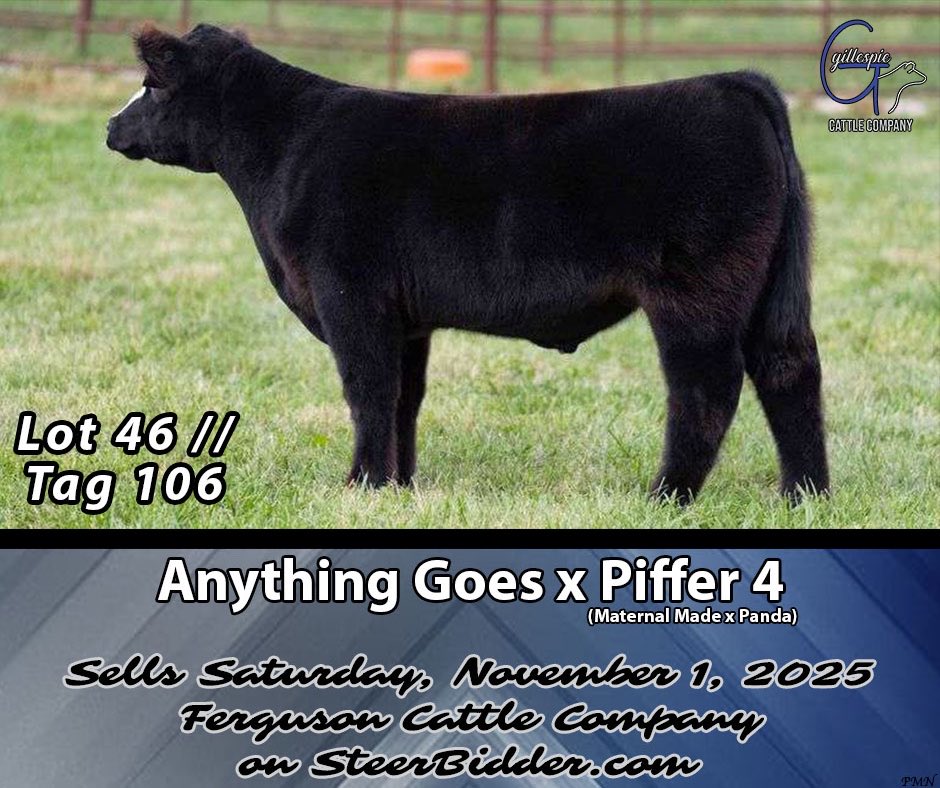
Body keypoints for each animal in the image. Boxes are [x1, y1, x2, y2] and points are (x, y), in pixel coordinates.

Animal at [106, 24, 829, 504]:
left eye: (150, 86)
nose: (111, 129)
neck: (284, 150)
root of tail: (734, 82)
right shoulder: (405, 316)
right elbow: (404, 395)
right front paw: (397, 485)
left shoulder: (350, 295)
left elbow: (368, 388)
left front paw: (360, 484)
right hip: (770, 291)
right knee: (788, 368)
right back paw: (805, 494)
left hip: (695, 291)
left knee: (707, 387)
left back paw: (666, 495)